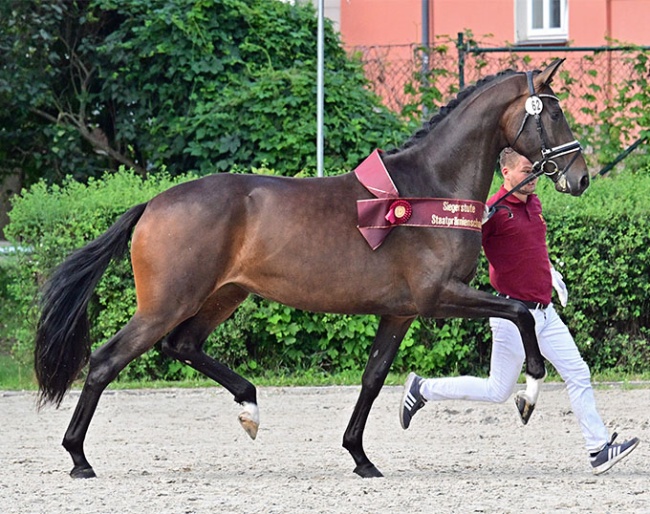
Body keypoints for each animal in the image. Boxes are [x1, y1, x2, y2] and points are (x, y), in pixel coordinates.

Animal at [36, 58, 592, 478]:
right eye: (554, 113)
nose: (581, 177)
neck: (429, 186)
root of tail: (152, 203)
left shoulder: (400, 312)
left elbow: (373, 376)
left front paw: (360, 457)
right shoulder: (440, 297)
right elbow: (521, 311)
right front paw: (529, 394)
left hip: (223, 295)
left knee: (183, 345)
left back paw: (249, 407)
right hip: (167, 302)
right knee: (106, 360)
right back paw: (79, 457)